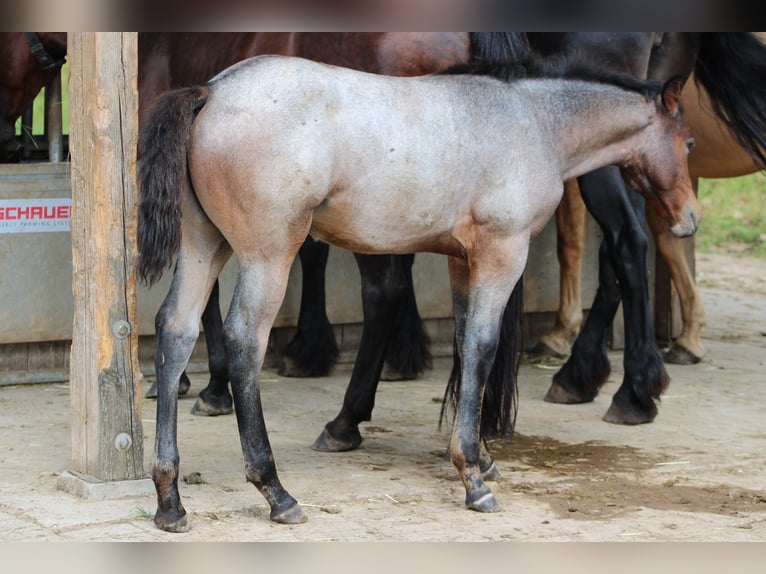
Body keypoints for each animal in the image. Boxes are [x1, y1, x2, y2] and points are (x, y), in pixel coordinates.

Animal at [138, 53, 704, 532]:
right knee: (244, 343)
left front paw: (483, 458)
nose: (690, 220)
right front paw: (472, 477)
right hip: (267, 255)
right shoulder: (502, 253)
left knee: (175, 331)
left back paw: (170, 500)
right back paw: (276, 491)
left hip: (204, 245)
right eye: (690, 143)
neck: (531, 120)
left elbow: (463, 346)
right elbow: (482, 347)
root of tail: (212, 90)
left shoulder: (461, 260)